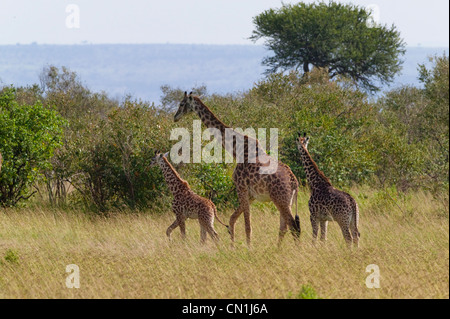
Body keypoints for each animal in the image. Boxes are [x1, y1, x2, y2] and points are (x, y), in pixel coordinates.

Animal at [174, 92, 300, 248]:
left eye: (181, 104)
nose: (175, 117)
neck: (237, 149)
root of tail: (294, 181)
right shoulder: (251, 195)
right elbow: (232, 219)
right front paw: (233, 245)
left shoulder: (241, 188)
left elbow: (247, 225)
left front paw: (248, 248)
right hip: (287, 200)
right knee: (284, 227)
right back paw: (278, 249)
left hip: (280, 199)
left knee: (293, 226)